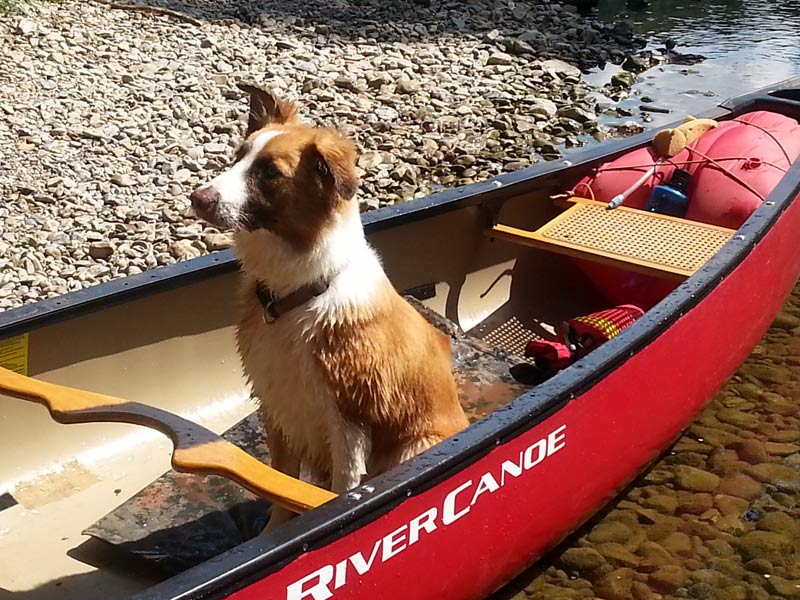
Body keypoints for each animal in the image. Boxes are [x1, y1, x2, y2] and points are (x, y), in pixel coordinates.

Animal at [189, 83, 468, 528]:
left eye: (270, 173)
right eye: (238, 156)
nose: (197, 199)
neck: (298, 295)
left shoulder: (349, 421)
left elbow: (341, 492)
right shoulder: (277, 407)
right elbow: (283, 490)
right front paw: (274, 530)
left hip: (414, 445)